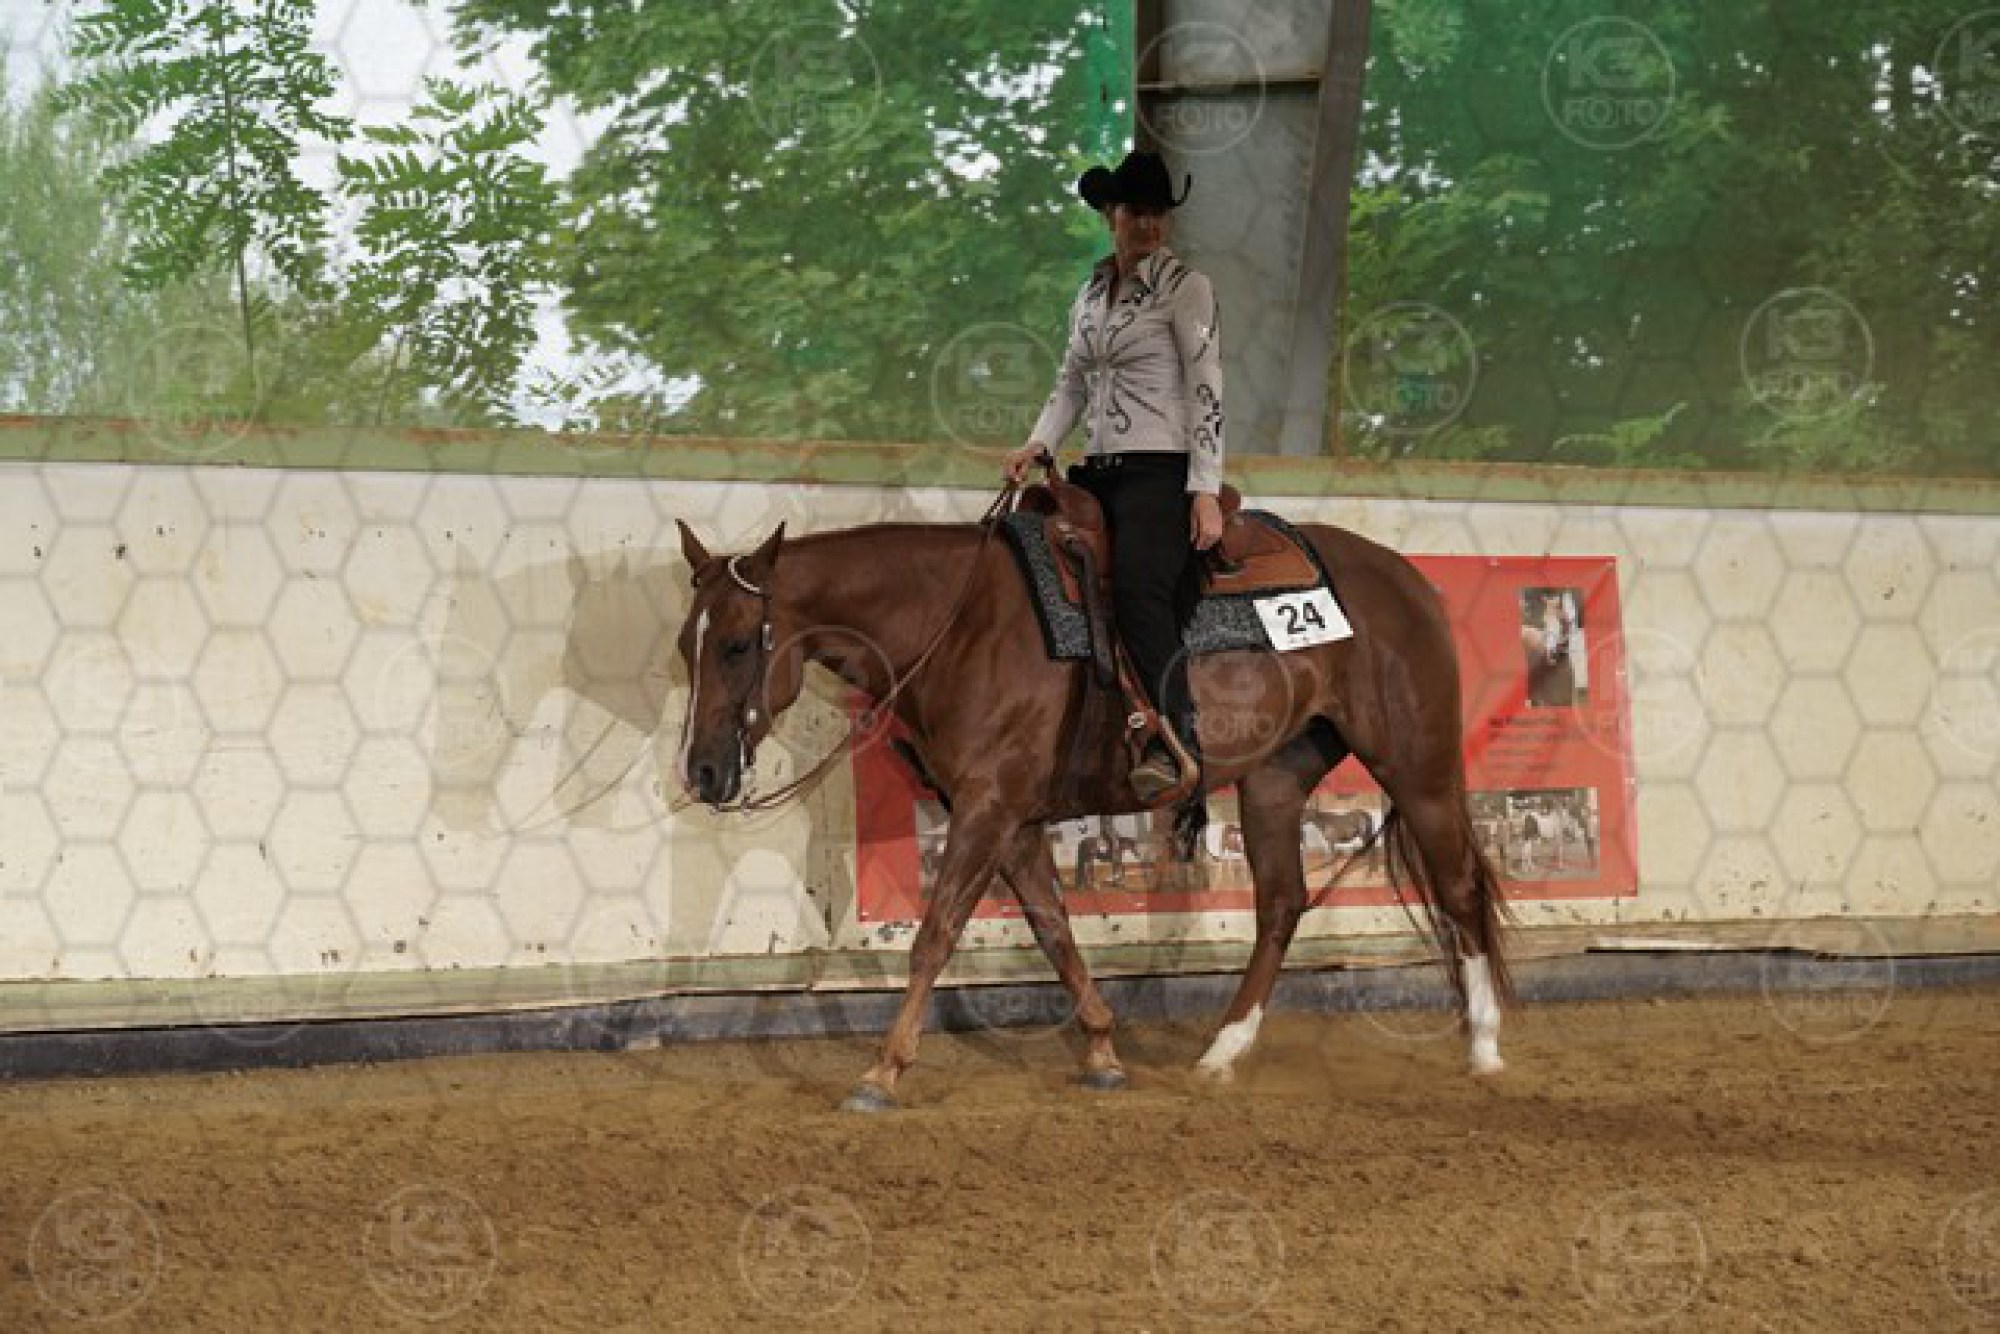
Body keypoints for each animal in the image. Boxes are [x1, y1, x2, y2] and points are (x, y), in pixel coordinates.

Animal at [673, 498, 1512, 1111]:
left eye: (739, 644)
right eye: (687, 644)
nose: (703, 771)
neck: (960, 622)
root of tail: (1409, 580)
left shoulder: (987, 808)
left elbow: (936, 936)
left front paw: (883, 1071)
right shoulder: (1012, 821)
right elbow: (1056, 933)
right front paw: (1105, 1052)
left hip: (1418, 766)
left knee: (1460, 887)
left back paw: (1484, 1048)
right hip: (1276, 778)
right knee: (1281, 904)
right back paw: (1221, 1052)